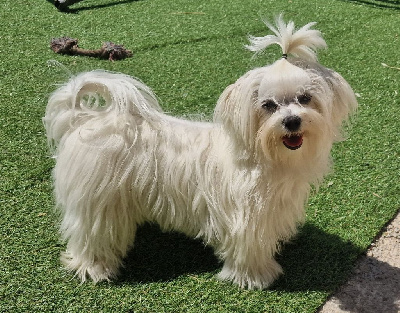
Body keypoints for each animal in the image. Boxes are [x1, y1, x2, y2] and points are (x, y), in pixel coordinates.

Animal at [43, 14, 356, 288]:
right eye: (268, 105)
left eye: (305, 98)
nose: (291, 121)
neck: (264, 157)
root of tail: (85, 119)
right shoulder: (246, 220)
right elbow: (248, 249)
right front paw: (256, 277)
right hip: (97, 203)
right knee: (91, 237)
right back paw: (94, 269)